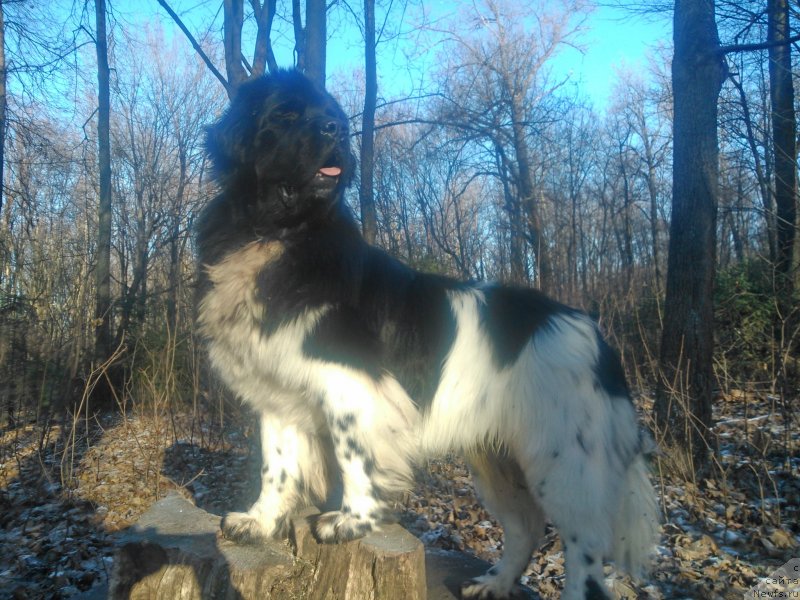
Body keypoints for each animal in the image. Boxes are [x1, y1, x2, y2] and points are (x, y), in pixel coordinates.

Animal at [197, 71, 660, 600]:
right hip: (497, 461)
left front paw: (351, 522)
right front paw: (258, 522)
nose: (337, 129)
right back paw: (492, 583)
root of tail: (594, 333)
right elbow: (275, 466)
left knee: (584, 553)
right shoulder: (275, 394)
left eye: (330, 112)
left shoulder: (351, 387)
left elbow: (354, 454)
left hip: (565, 463)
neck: (276, 234)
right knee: (525, 527)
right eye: (286, 114)